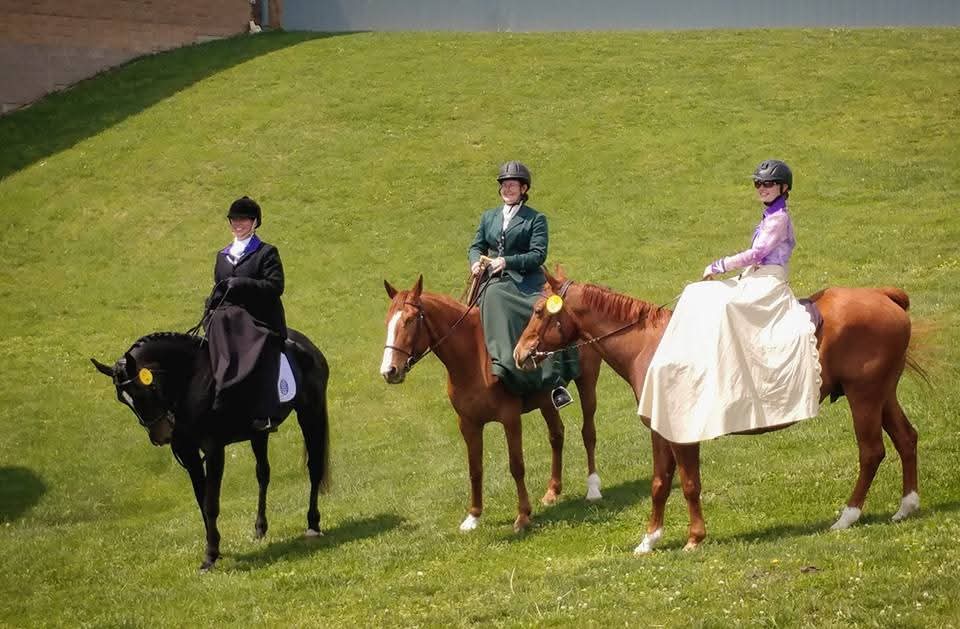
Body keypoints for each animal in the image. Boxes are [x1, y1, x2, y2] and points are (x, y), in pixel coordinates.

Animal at [91, 328, 330, 570]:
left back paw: (313, 524)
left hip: (311, 413)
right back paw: (260, 528)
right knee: (263, 473)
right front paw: (214, 548)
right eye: (123, 399)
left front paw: (210, 556)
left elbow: (211, 503)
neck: (193, 382)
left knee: (314, 467)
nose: (160, 436)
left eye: (143, 390)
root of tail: (307, 344)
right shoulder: (189, 453)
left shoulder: (215, 450)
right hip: (259, 434)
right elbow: (201, 499)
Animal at [380, 276, 603, 532]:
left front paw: (523, 515)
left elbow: (516, 465)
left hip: (587, 382)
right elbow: (475, 469)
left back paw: (593, 488)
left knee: (588, 433)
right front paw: (473, 516)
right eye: (387, 322)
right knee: (557, 436)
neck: (474, 359)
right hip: (547, 400)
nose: (389, 371)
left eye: (409, 320)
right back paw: (552, 491)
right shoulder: (468, 424)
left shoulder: (510, 418)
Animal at [513, 269, 925, 553]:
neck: (651, 345)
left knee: (871, 452)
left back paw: (848, 516)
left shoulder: (680, 434)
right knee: (906, 439)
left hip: (864, 398)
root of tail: (884, 296)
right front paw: (650, 539)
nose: (520, 354)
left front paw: (694, 538)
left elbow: (689, 484)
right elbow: (661, 484)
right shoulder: (660, 431)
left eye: (539, 310)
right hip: (882, 395)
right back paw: (906, 506)